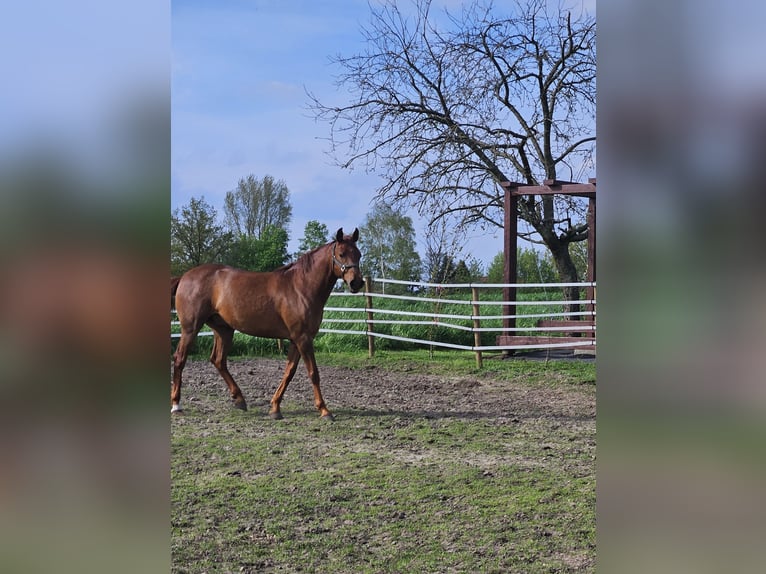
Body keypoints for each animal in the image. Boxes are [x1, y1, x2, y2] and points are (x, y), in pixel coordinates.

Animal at [171, 227, 364, 420]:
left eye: (359, 254)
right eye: (341, 254)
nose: (357, 283)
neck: (300, 287)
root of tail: (185, 277)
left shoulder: (296, 339)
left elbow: (289, 372)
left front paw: (275, 408)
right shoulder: (303, 338)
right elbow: (313, 373)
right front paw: (324, 410)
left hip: (224, 330)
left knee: (218, 360)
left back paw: (240, 400)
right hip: (191, 328)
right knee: (180, 358)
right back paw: (176, 405)